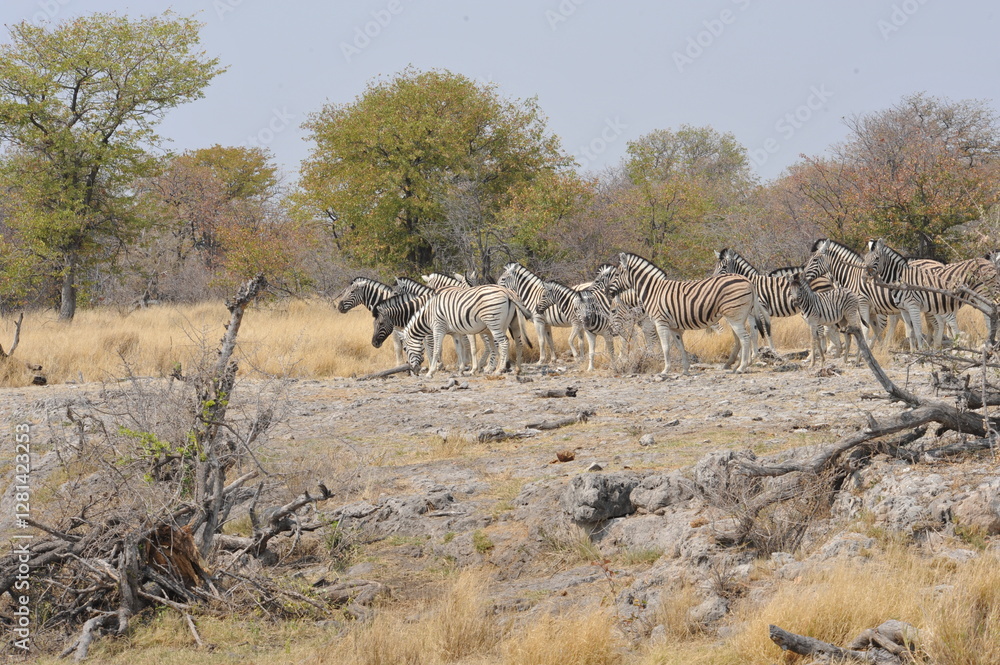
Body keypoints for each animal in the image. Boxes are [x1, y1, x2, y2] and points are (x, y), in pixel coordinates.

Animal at [597, 252, 757, 375]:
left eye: (617, 273)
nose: (607, 292)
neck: (653, 291)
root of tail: (747, 280)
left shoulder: (660, 322)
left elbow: (664, 346)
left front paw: (665, 370)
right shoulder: (674, 326)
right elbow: (680, 346)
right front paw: (685, 369)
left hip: (734, 316)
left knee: (745, 338)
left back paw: (741, 367)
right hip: (740, 316)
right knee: (745, 337)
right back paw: (739, 365)